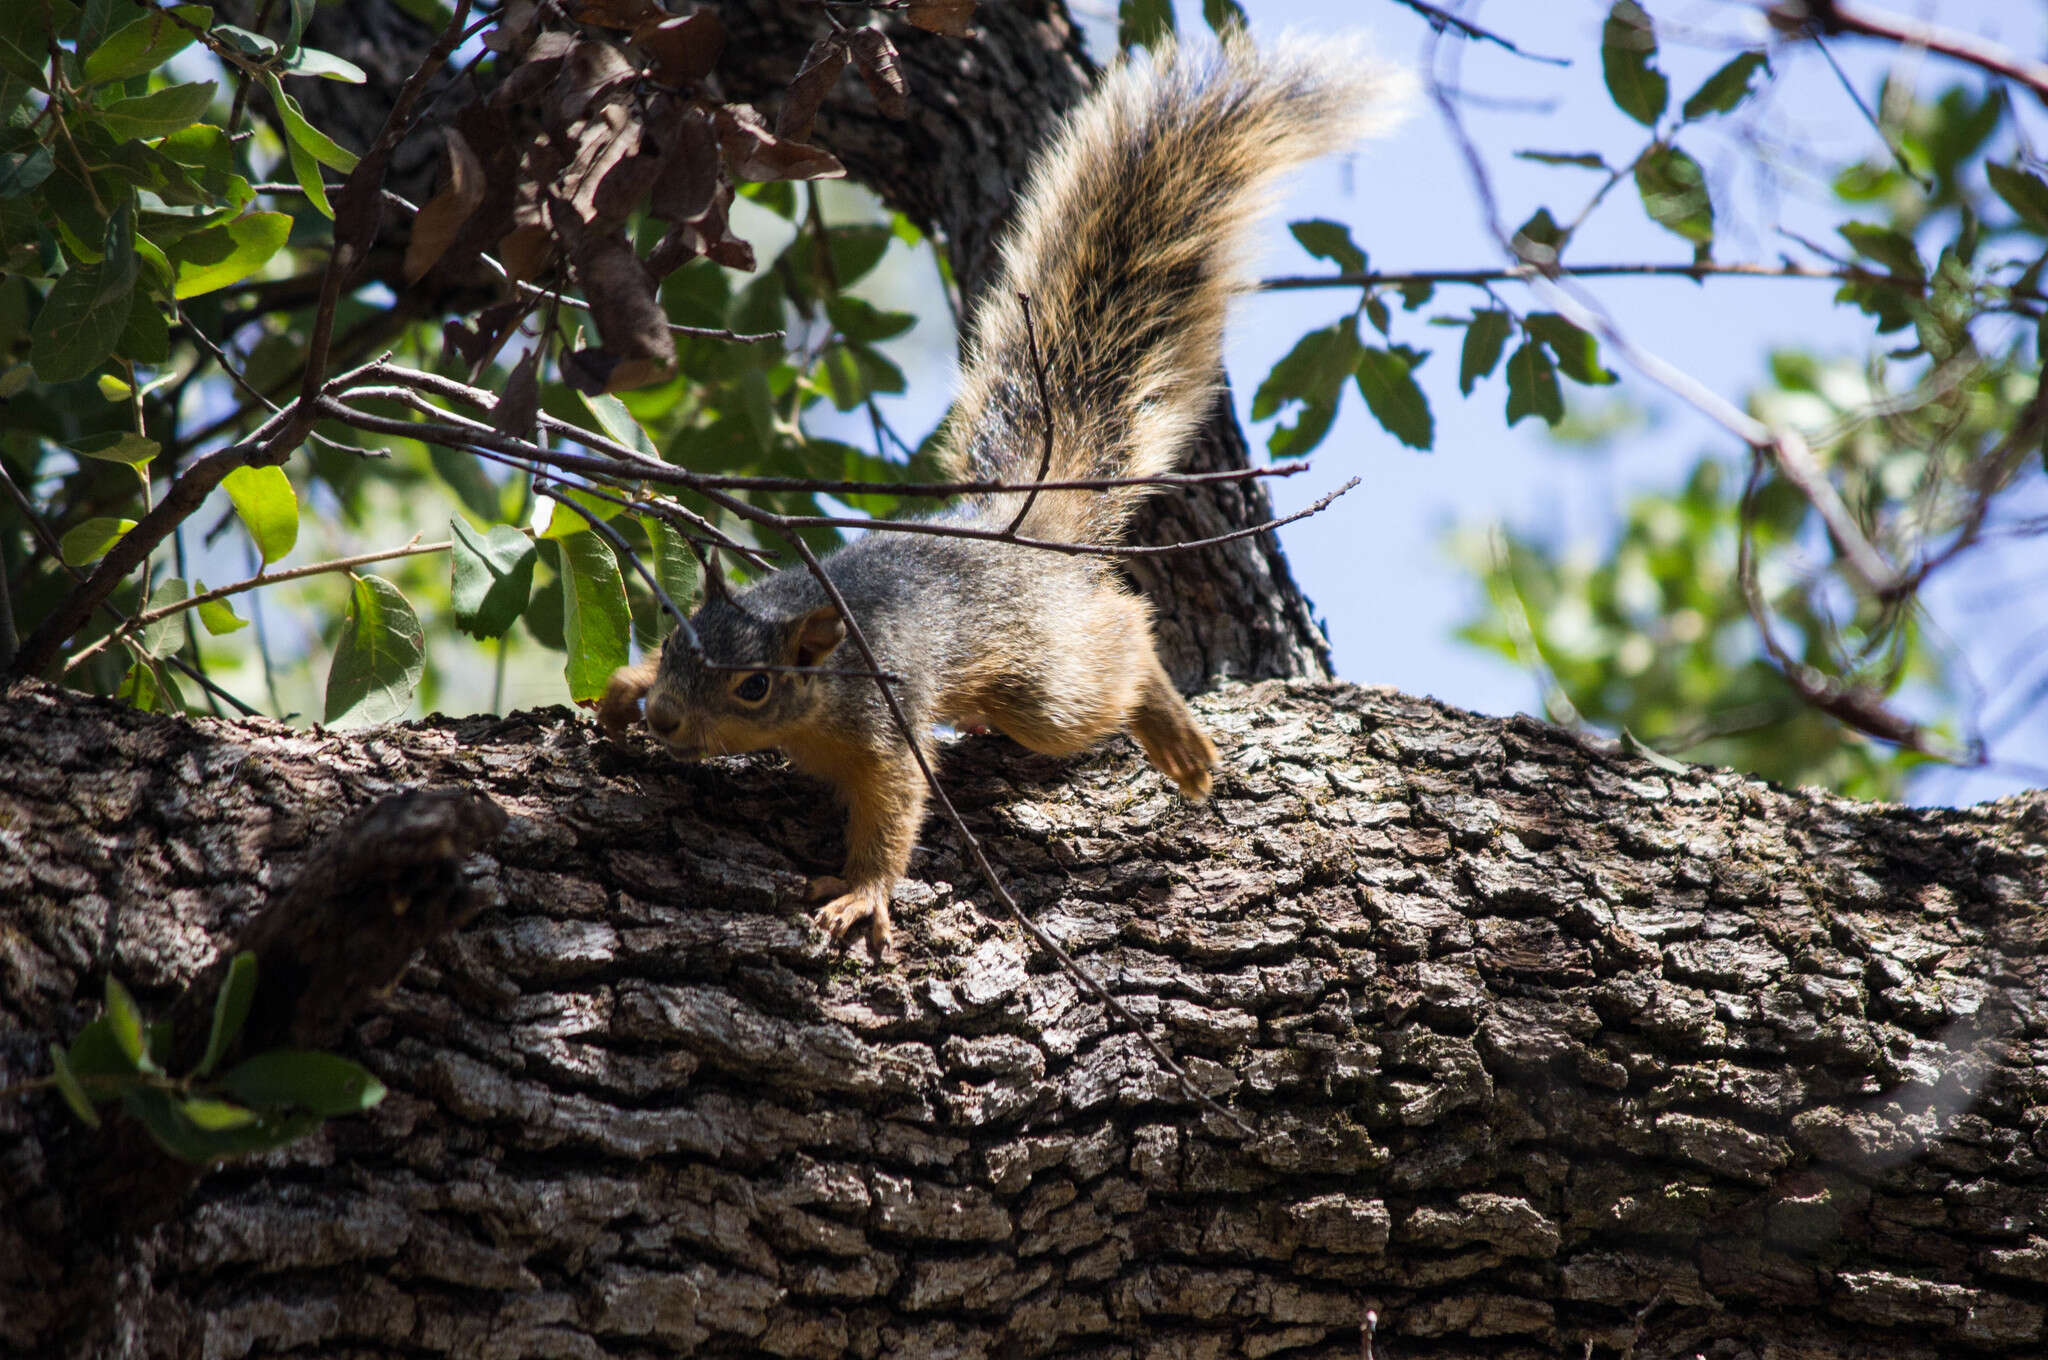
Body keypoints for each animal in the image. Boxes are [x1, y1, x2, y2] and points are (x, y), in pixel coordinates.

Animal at [598, 29, 1417, 946]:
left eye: (755, 686)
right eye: (677, 645)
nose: (666, 720)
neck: (821, 676)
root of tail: (1019, 531)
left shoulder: (885, 728)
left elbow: (895, 810)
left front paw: (864, 892)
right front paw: (624, 687)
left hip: (1045, 685)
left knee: (1121, 643)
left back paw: (1168, 727)